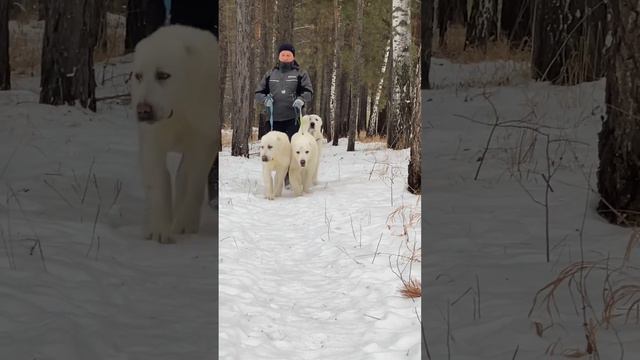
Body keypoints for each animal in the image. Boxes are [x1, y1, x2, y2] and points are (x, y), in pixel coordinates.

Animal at [130, 24, 220, 245]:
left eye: (163, 75)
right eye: (139, 76)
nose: (143, 110)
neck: (179, 109)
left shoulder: (203, 139)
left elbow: (193, 182)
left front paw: (184, 225)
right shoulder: (152, 140)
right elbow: (159, 181)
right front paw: (159, 231)